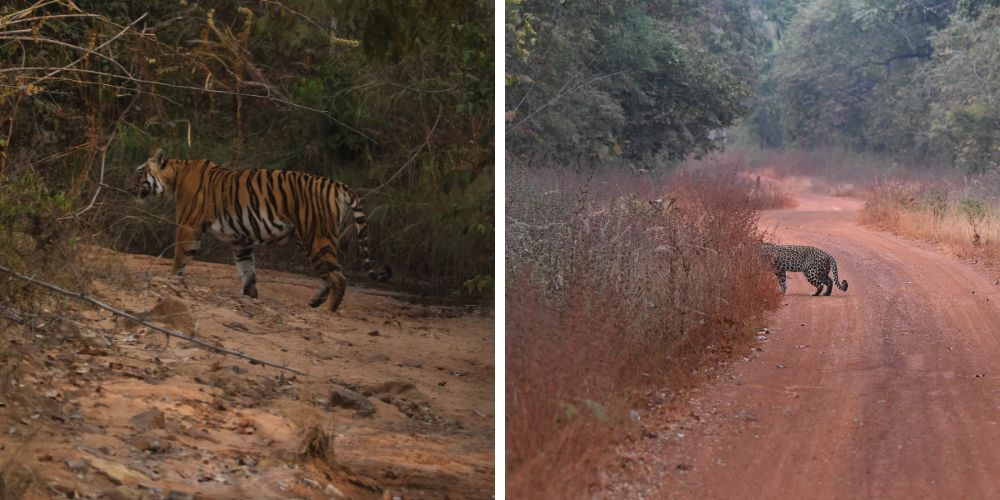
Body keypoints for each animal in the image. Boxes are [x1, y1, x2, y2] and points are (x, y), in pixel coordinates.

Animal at [128, 148, 391, 312]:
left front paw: (171, 279)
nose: (128, 187)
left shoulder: (188, 226)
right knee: (330, 273)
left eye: (139, 171)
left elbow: (180, 257)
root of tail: (339, 185)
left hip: (316, 236)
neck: (174, 176)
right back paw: (315, 302)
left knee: (339, 277)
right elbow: (247, 270)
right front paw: (250, 296)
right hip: (314, 239)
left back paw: (328, 309)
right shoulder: (240, 240)